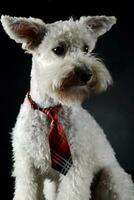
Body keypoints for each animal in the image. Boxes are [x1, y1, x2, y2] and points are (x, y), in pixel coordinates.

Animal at [1, 14, 134, 199]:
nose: (86, 74)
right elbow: (27, 191)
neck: (50, 108)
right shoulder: (27, 167)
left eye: (86, 48)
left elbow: (72, 193)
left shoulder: (75, 167)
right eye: (58, 49)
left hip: (113, 177)